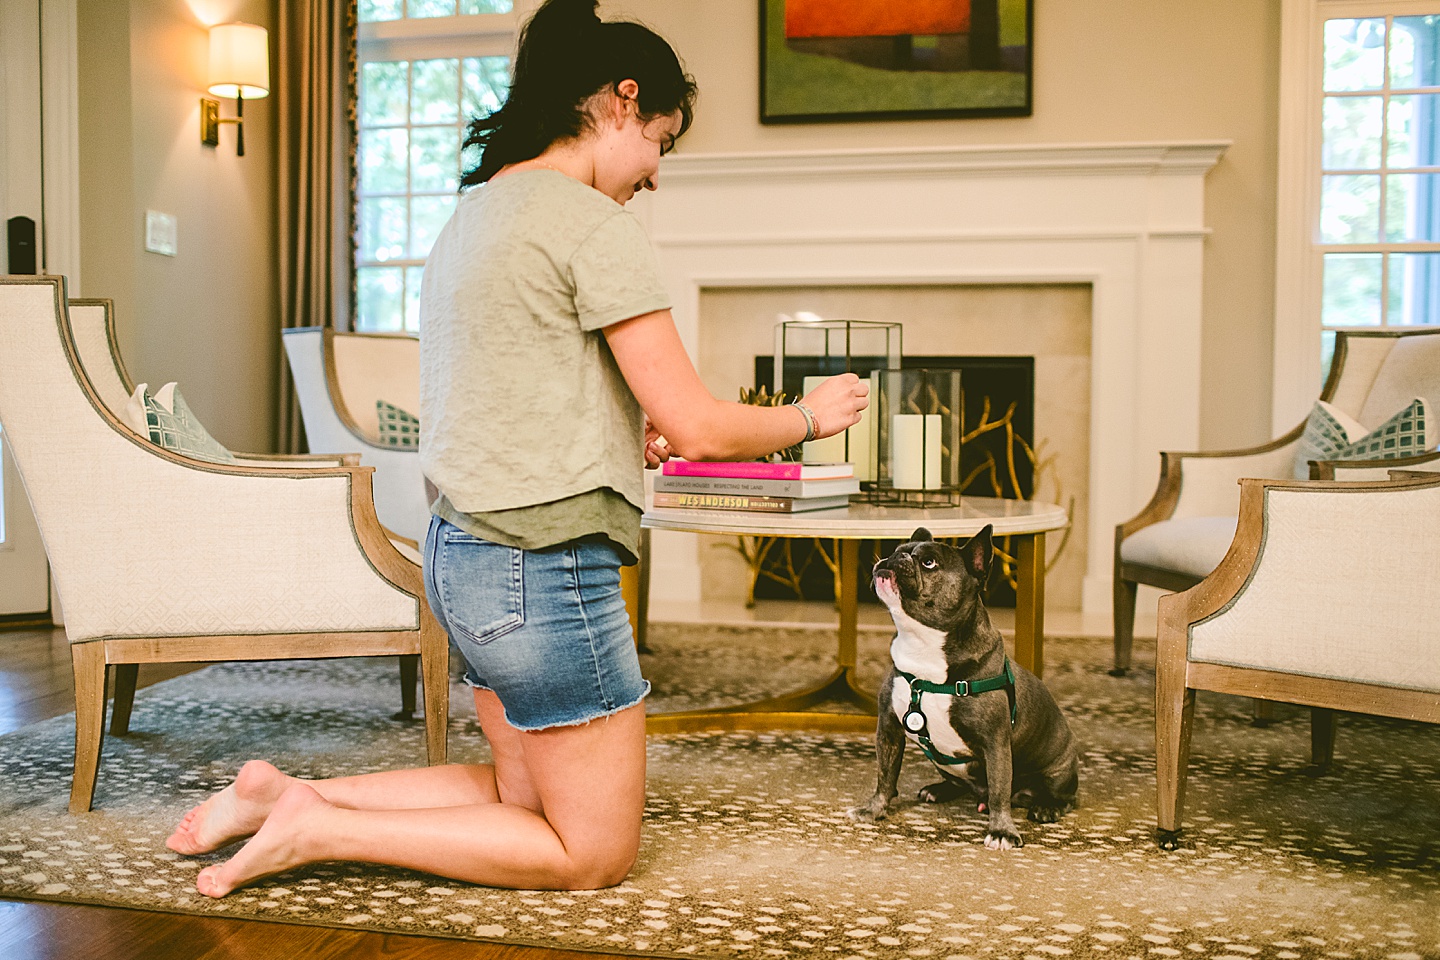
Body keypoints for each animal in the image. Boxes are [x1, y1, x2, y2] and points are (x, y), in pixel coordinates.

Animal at [846, 526, 1077, 846]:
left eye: (929, 563)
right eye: (896, 549)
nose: (894, 558)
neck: (923, 644)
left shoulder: (995, 743)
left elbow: (1000, 791)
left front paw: (1002, 831)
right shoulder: (889, 728)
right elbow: (885, 775)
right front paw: (873, 810)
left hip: (1058, 769)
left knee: (1063, 797)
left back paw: (1047, 807)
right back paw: (938, 790)